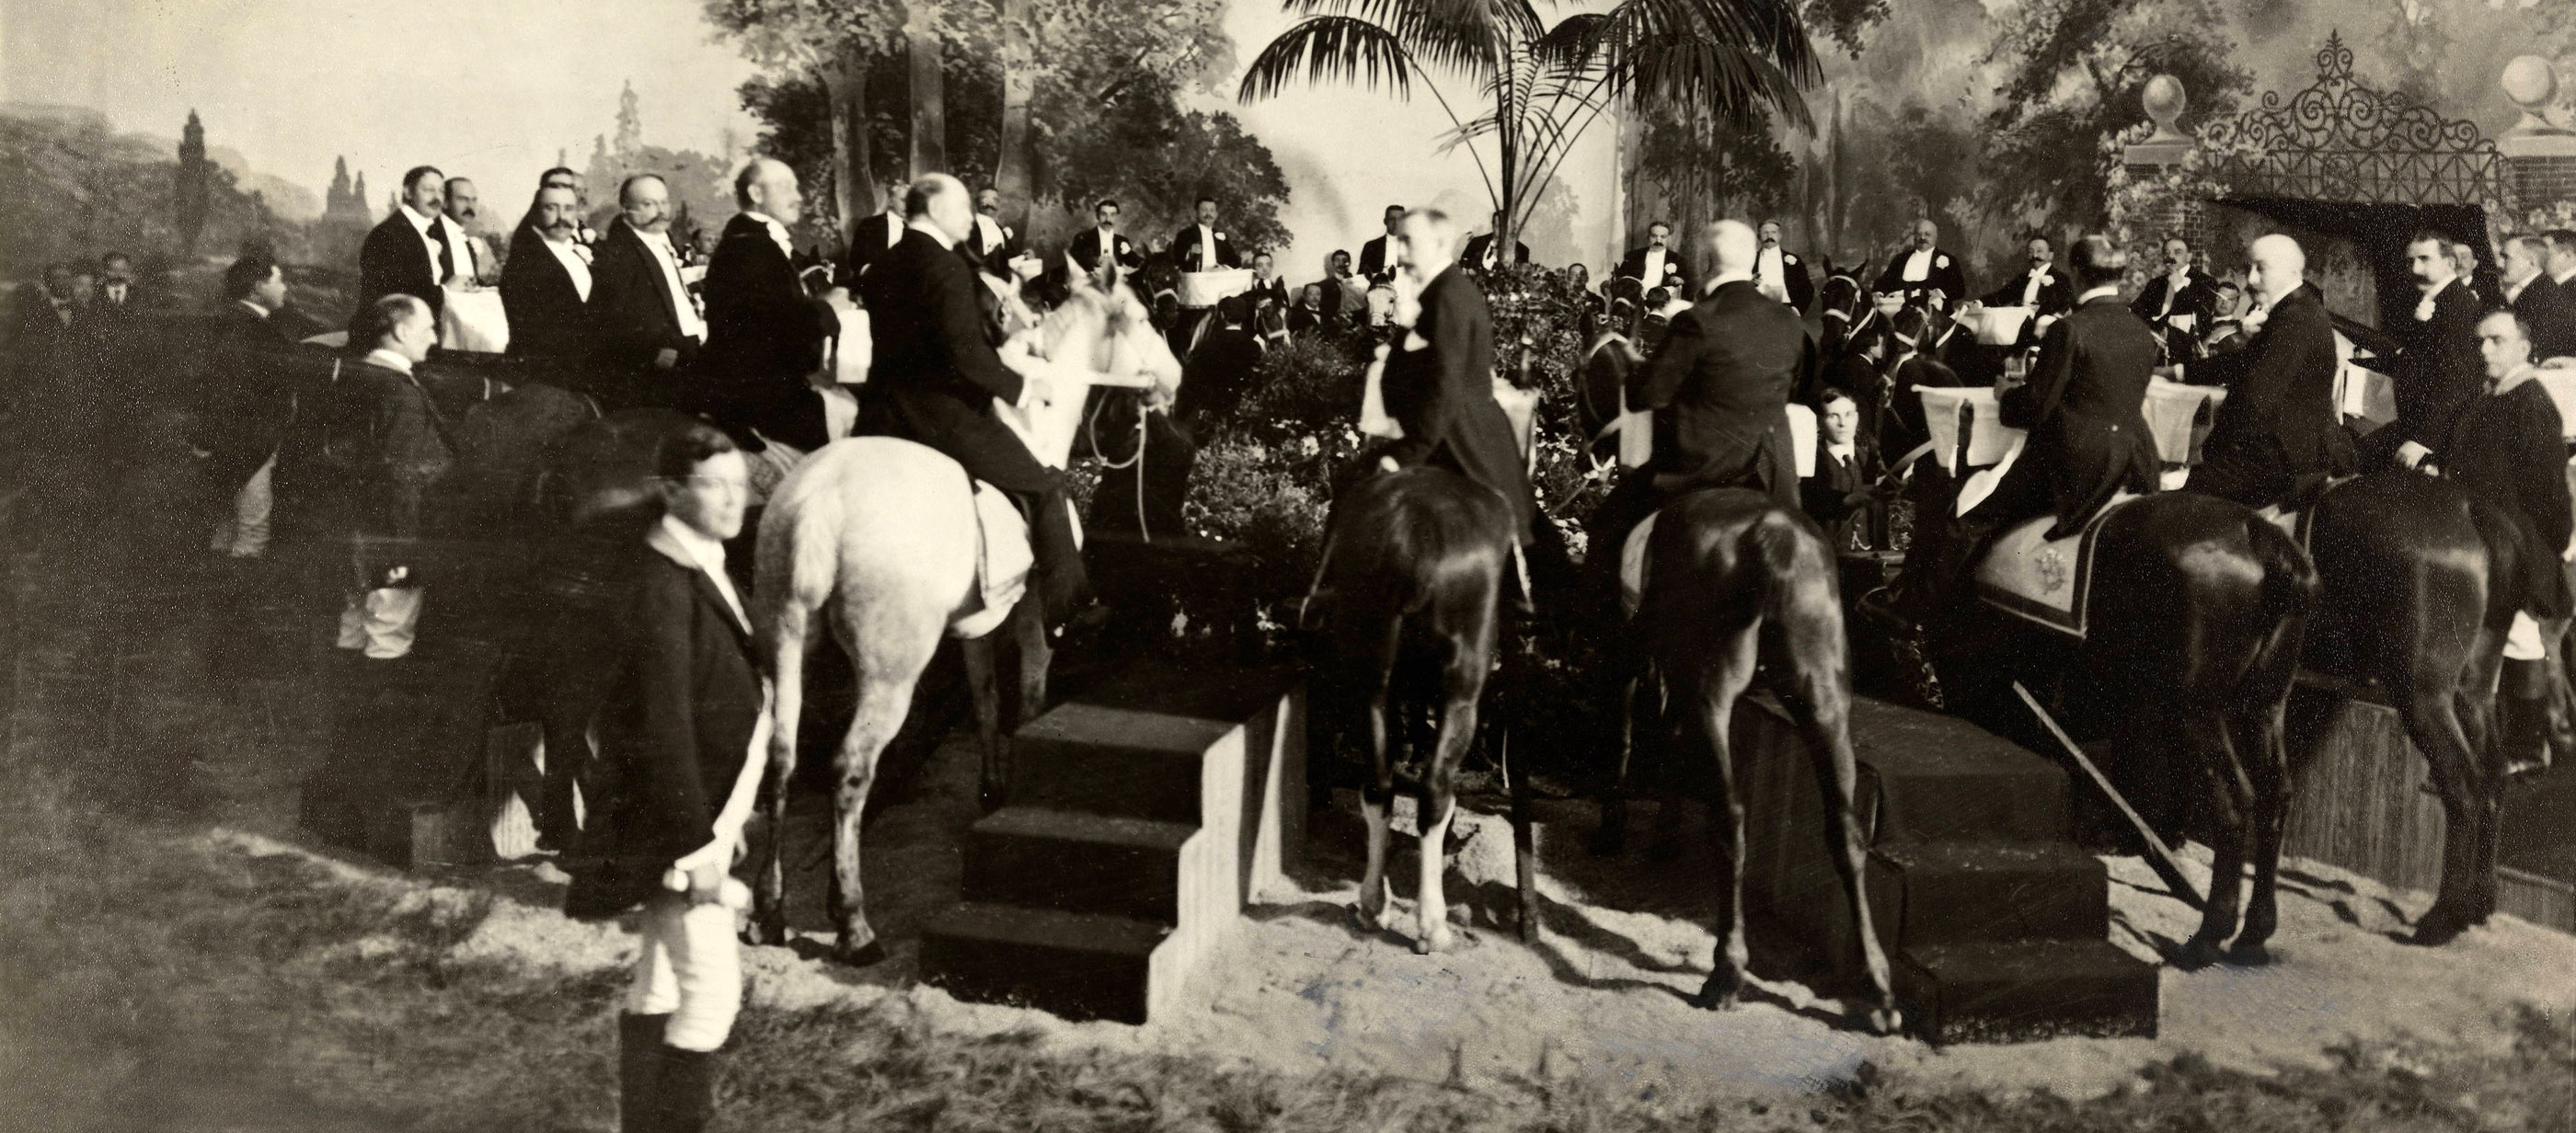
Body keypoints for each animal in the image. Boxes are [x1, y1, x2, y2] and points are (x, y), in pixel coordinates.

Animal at [752, 279, 1179, 957]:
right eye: (1140, 316)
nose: (1174, 379)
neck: (1034, 427)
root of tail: (819, 502)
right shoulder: (1030, 610)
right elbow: (1027, 698)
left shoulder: (978, 622)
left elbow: (983, 698)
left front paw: (992, 791)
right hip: (889, 674)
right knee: (850, 770)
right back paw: (853, 922)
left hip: (784, 646)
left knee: (780, 759)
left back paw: (769, 909)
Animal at [1308, 464, 1524, 953]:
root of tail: (1412, 533)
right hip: (1462, 693)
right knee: (1434, 792)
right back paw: (1433, 924)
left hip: (1369, 682)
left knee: (1378, 785)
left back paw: (1372, 906)